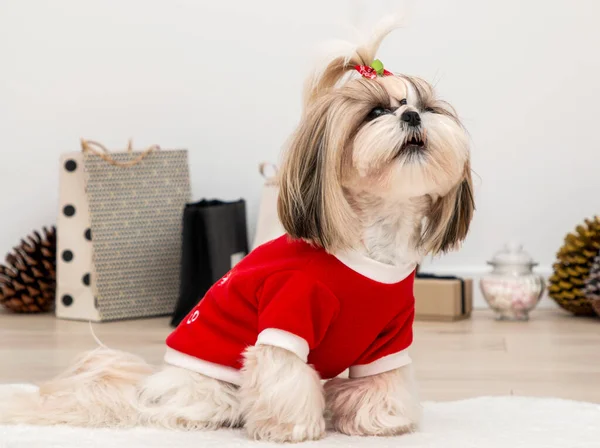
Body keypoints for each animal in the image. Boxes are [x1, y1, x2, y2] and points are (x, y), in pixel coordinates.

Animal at [0, 16, 474, 440]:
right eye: (375, 112)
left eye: (427, 108)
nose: (411, 116)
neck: (370, 241)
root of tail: (150, 387)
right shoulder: (290, 307)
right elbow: (282, 373)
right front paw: (292, 429)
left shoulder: (389, 336)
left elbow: (381, 380)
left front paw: (383, 419)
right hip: (210, 387)